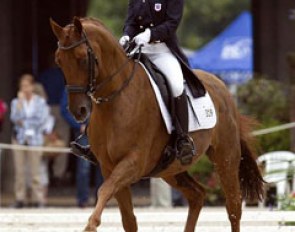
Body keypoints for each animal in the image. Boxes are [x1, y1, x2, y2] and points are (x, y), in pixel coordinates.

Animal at [49, 16, 264, 232]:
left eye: (83, 59)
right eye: (58, 61)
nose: (78, 111)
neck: (116, 101)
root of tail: (223, 88)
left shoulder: (134, 163)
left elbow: (104, 190)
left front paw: (90, 225)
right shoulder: (109, 167)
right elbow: (128, 219)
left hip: (225, 157)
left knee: (233, 206)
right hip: (171, 169)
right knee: (197, 195)